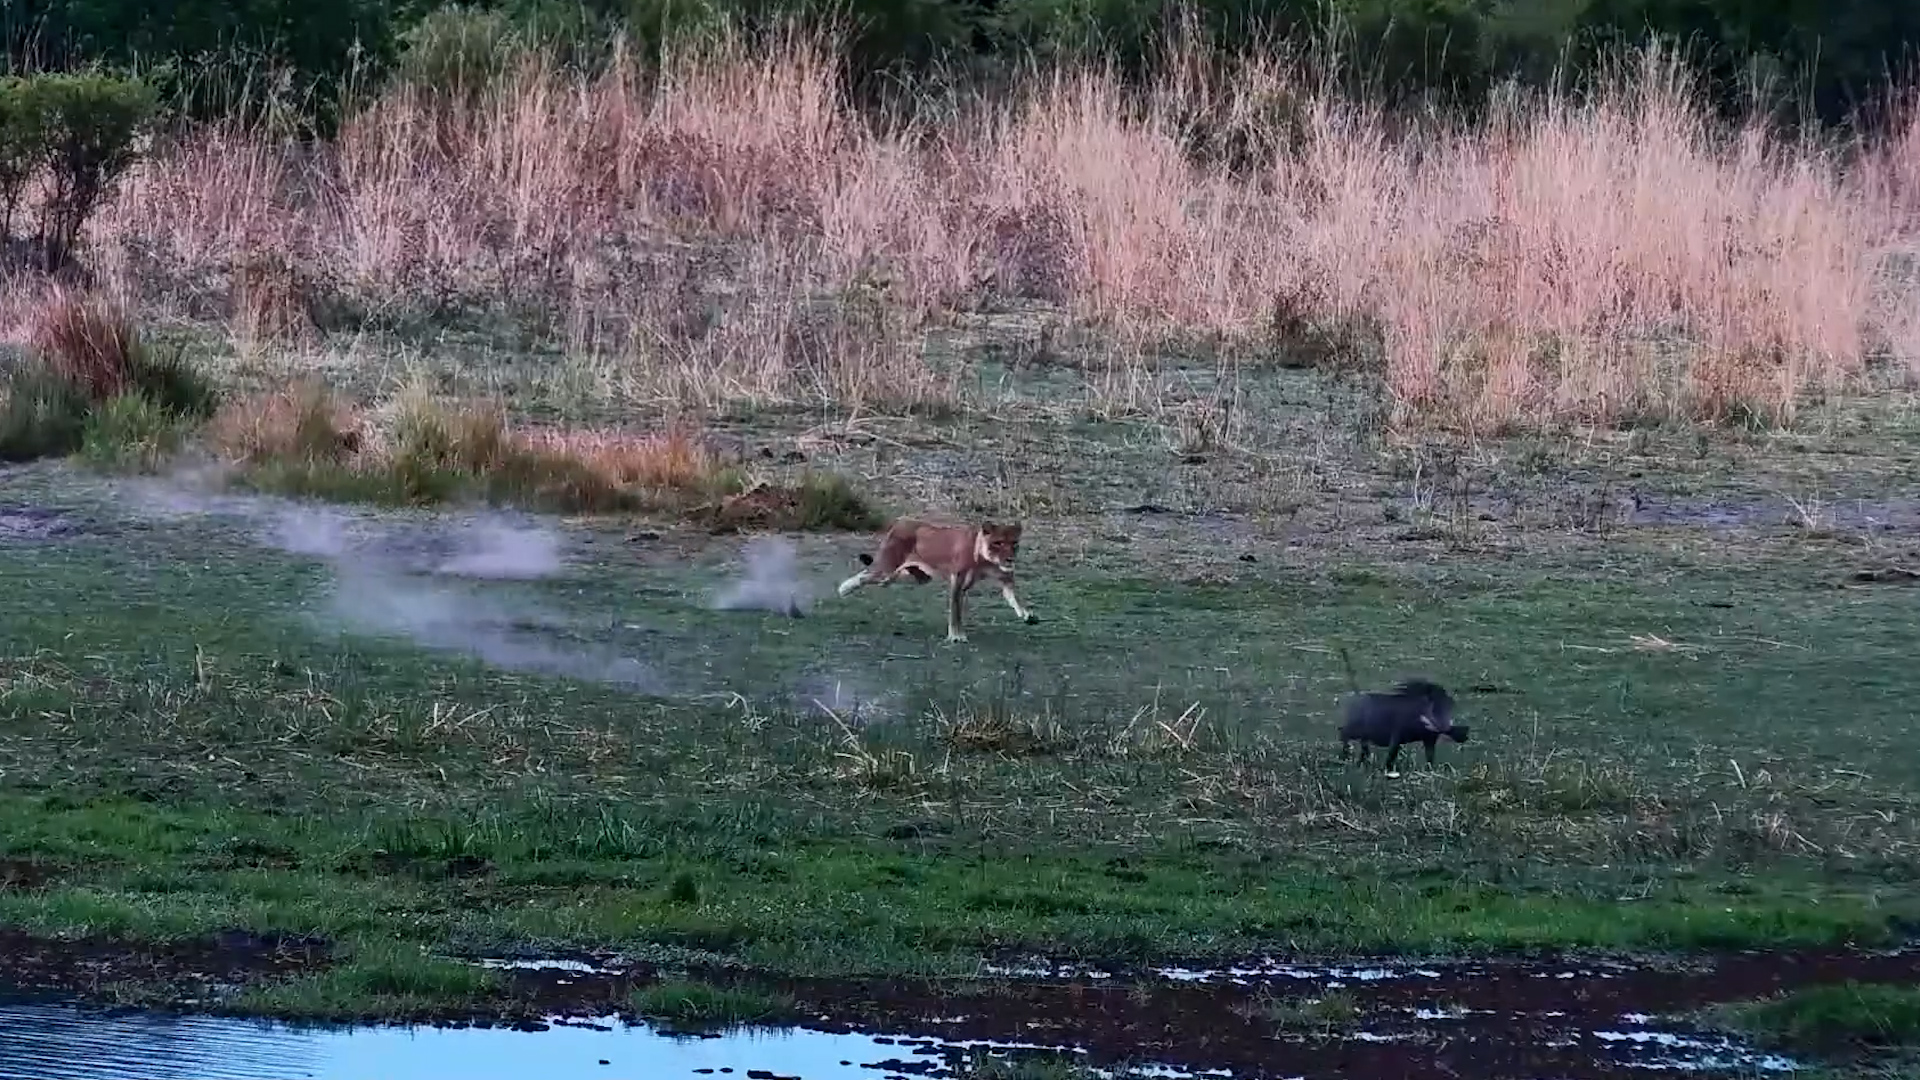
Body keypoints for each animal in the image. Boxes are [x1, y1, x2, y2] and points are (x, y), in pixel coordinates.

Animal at [836, 518, 1039, 643]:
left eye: (1014, 543)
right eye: (998, 543)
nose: (1010, 559)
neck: (985, 559)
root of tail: (901, 522)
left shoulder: (1004, 578)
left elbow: (1015, 598)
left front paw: (1027, 615)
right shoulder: (957, 581)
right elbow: (955, 612)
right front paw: (956, 636)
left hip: (919, 577)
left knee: (887, 580)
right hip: (886, 568)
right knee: (866, 575)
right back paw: (844, 589)